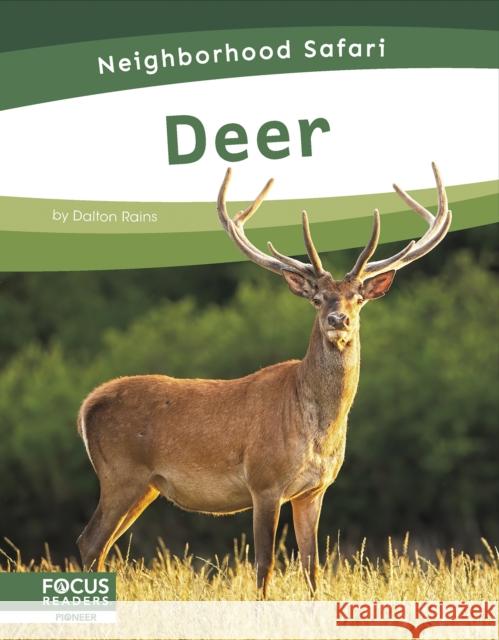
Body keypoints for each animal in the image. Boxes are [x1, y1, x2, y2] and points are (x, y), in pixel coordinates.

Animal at [77, 163, 451, 597]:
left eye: (358, 297)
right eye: (317, 298)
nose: (338, 320)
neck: (317, 429)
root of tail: (87, 405)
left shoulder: (314, 490)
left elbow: (312, 566)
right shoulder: (264, 481)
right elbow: (264, 565)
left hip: (146, 485)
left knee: (101, 545)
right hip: (121, 473)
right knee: (89, 541)